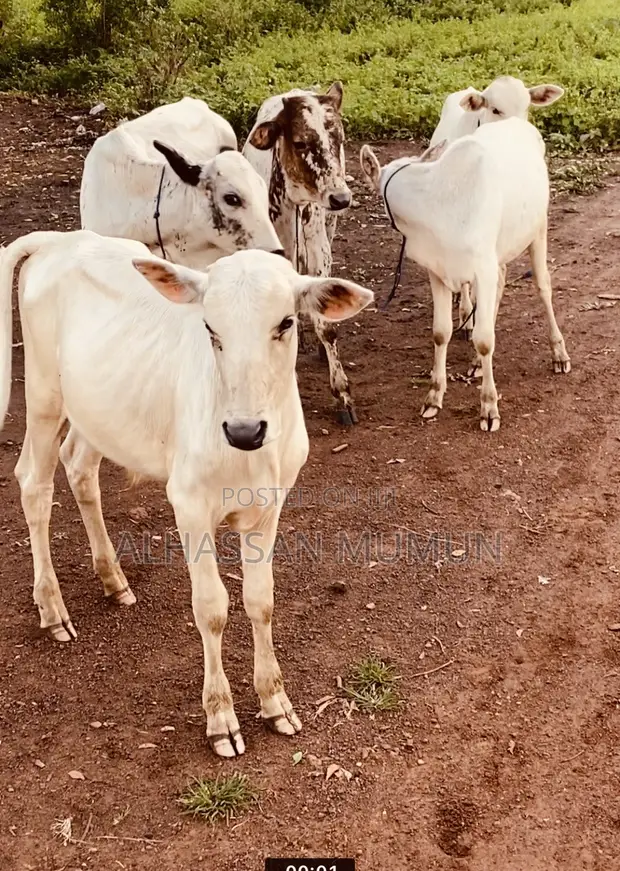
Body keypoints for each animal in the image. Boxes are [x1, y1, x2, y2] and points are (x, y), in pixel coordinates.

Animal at [0, 230, 373, 756]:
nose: (243, 429)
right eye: (210, 329)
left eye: (285, 322)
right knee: (33, 482)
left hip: (97, 411)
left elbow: (262, 599)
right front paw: (221, 718)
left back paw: (114, 580)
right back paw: (52, 609)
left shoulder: (271, 505)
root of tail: (60, 239)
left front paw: (275, 702)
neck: (248, 456)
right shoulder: (190, 505)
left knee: (79, 467)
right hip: (43, 394)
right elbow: (212, 607)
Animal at [243, 83, 360, 425]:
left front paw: (342, 394)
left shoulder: (320, 250)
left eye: (339, 140)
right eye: (300, 142)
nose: (340, 198)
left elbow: (326, 325)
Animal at [360, 118, 570, 432]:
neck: (434, 205)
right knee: (500, 285)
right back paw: (475, 364)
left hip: (538, 228)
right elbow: (441, 332)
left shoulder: (482, 267)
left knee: (543, 287)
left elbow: (484, 339)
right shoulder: (438, 271)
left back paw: (559, 353)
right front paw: (434, 396)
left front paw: (489, 408)